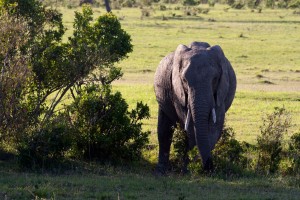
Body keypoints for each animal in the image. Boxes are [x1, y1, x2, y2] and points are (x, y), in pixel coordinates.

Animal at [155, 41, 237, 173]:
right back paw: (162, 170)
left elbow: (215, 126)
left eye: (215, 79)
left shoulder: (221, 92)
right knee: (164, 130)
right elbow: (189, 125)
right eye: (184, 80)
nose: (208, 167)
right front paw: (188, 168)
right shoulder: (177, 91)